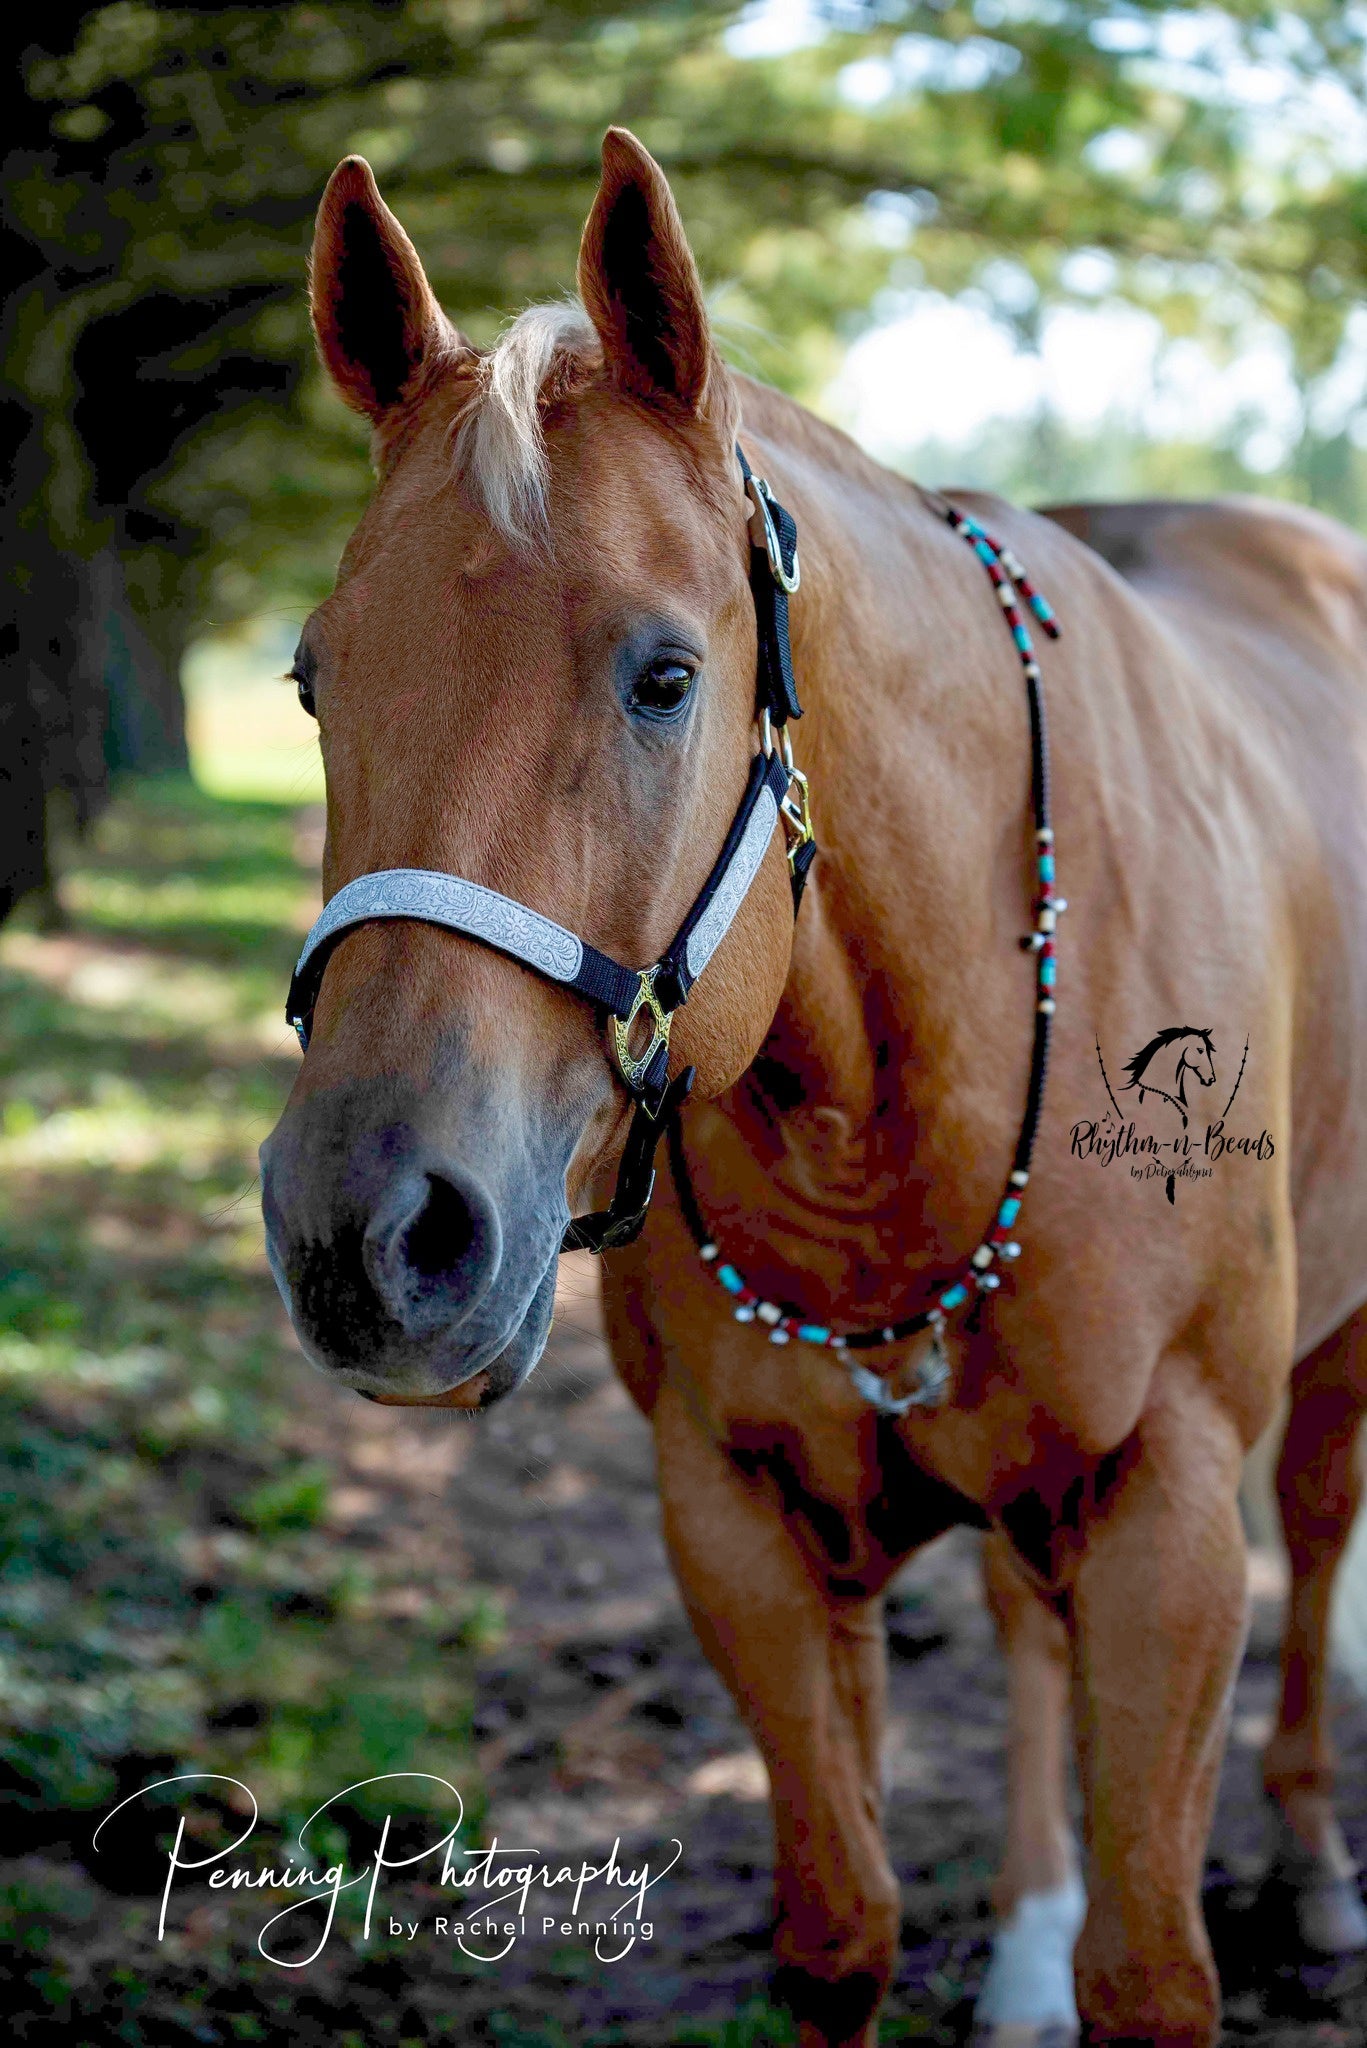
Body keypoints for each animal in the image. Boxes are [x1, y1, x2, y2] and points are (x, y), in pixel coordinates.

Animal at [256, 132, 1367, 2048]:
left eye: (664, 677)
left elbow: (1154, 1970)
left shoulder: (1167, 1518)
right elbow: (838, 1929)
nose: (368, 1236)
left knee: (1314, 1523)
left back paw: (1305, 1863)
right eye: (315, 676)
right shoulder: (739, 1524)